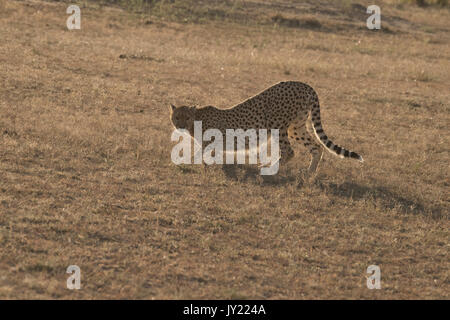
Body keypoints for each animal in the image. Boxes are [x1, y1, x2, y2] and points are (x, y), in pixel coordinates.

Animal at [171, 81, 364, 181]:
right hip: (296, 127)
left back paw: (268, 168)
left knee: (289, 151)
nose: (180, 125)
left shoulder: (214, 141)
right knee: (317, 147)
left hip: (277, 125)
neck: (196, 118)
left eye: (186, 117)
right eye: (177, 117)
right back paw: (308, 173)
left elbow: (201, 155)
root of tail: (304, 84)